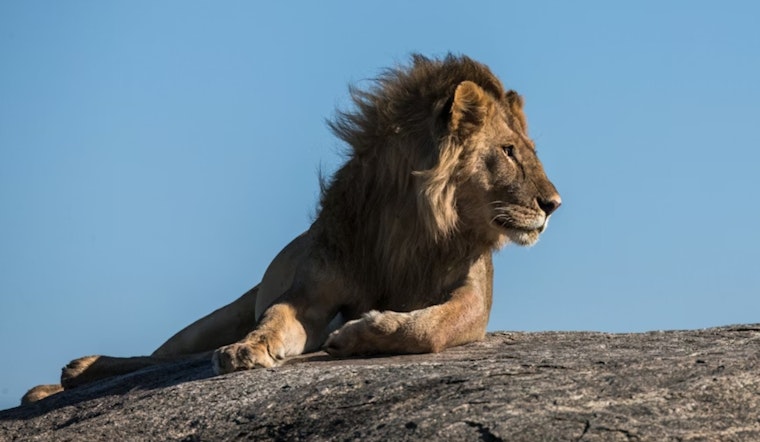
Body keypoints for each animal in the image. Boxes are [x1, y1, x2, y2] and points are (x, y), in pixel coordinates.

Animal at [23, 54, 560, 404]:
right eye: (509, 151)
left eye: (528, 150)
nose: (554, 204)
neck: (412, 228)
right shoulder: (310, 293)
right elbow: (277, 317)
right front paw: (248, 349)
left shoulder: (474, 300)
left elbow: (429, 327)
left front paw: (359, 334)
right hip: (216, 317)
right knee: (161, 357)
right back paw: (67, 377)